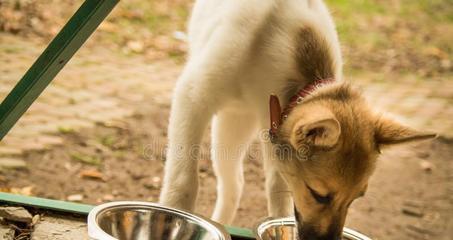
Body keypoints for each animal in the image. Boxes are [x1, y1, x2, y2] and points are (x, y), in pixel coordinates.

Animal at [158, 0, 430, 239]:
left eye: (355, 198)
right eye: (318, 194)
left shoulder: (274, 128)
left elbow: (279, 198)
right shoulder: (192, 97)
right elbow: (184, 183)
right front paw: (173, 216)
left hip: (237, 124)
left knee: (234, 182)